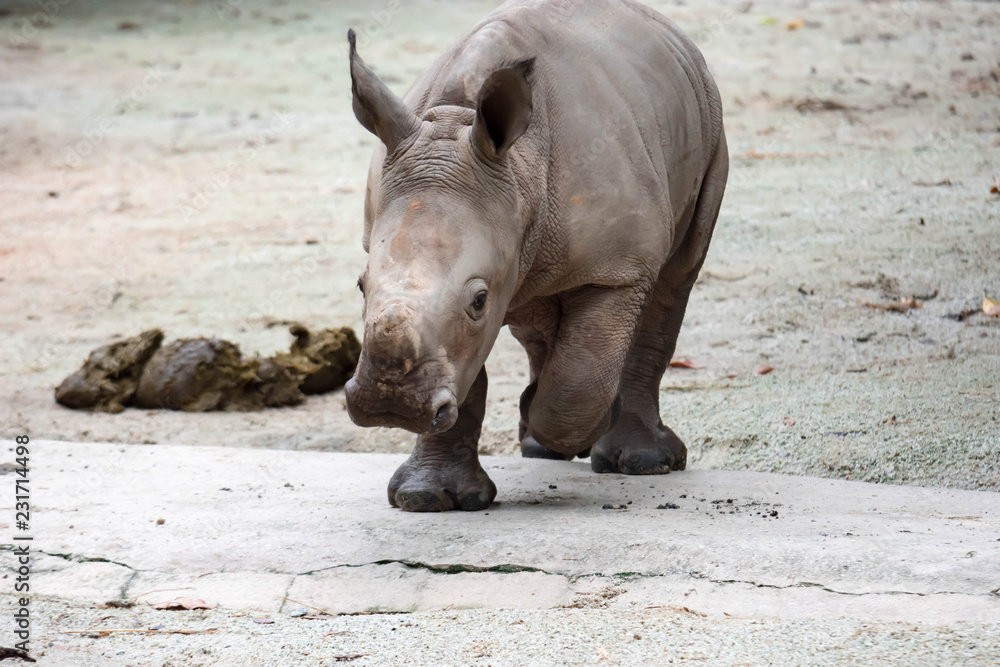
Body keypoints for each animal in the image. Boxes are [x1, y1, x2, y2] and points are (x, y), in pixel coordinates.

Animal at [344, 0, 728, 512]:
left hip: (709, 122)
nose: (389, 406)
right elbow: (469, 370)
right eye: (360, 286)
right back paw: (539, 443)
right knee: (535, 309)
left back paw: (641, 460)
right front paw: (427, 498)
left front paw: (564, 415)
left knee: (675, 278)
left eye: (479, 299)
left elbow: (579, 378)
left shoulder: (617, 269)